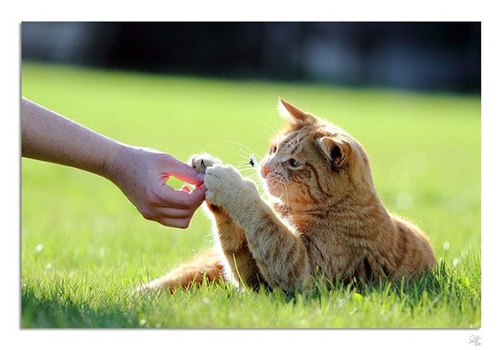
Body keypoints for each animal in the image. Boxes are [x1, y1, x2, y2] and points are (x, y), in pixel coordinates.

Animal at [139, 100, 438, 294]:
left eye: (294, 163)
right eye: (273, 149)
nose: (264, 167)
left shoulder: (299, 274)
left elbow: (262, 219)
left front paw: (230, 184)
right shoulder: (253, 275)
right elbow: (238, 241)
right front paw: (208, 164)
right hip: (203, 267)